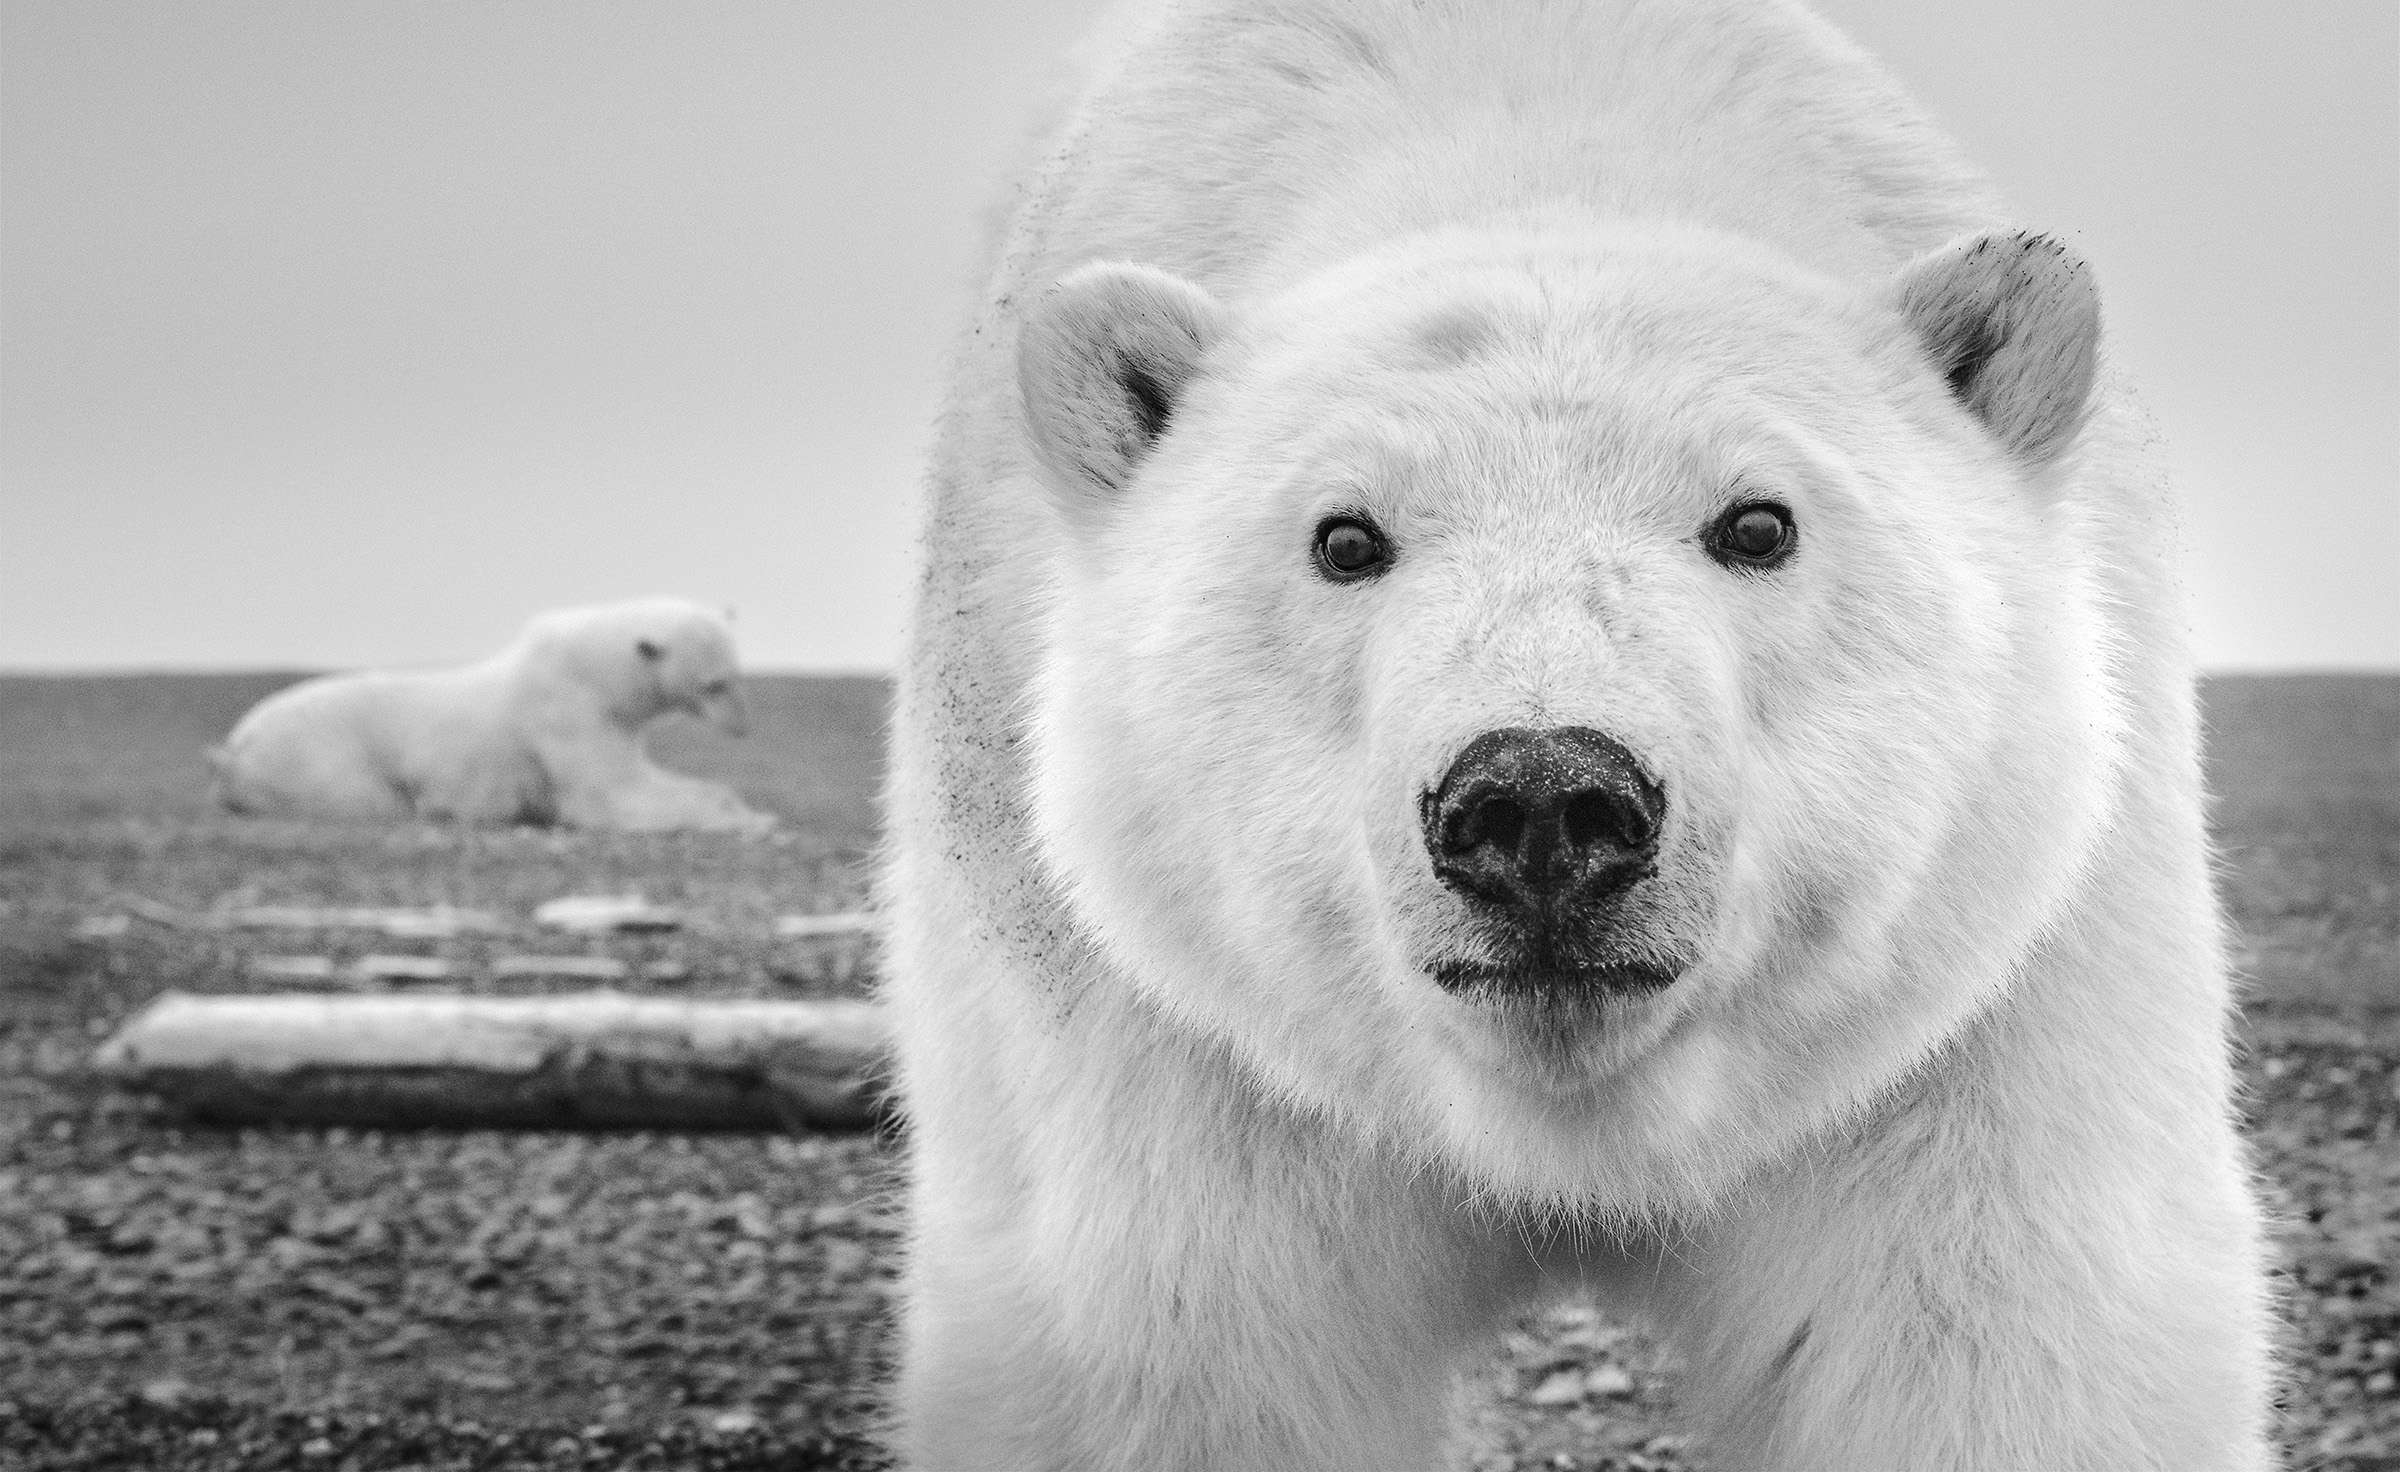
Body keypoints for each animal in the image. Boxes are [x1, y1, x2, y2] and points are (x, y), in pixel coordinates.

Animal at [214, 593, 772, 830]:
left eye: (737, 674)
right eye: (714, 684)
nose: (745, 725)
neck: (590, 668)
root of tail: (235, 746)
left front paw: (751, 811)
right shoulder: (565, 712)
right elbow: (607, 796)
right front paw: (742, 818)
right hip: (315, 756)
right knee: (364, 797)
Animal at [883, 2, 2265, 1469]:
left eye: (1759, 521)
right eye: (1344, 537)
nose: (1542, 800)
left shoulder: (1981, 1018)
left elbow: (2004, 1343)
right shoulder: (1169, 1043)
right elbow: (1182, 1360)